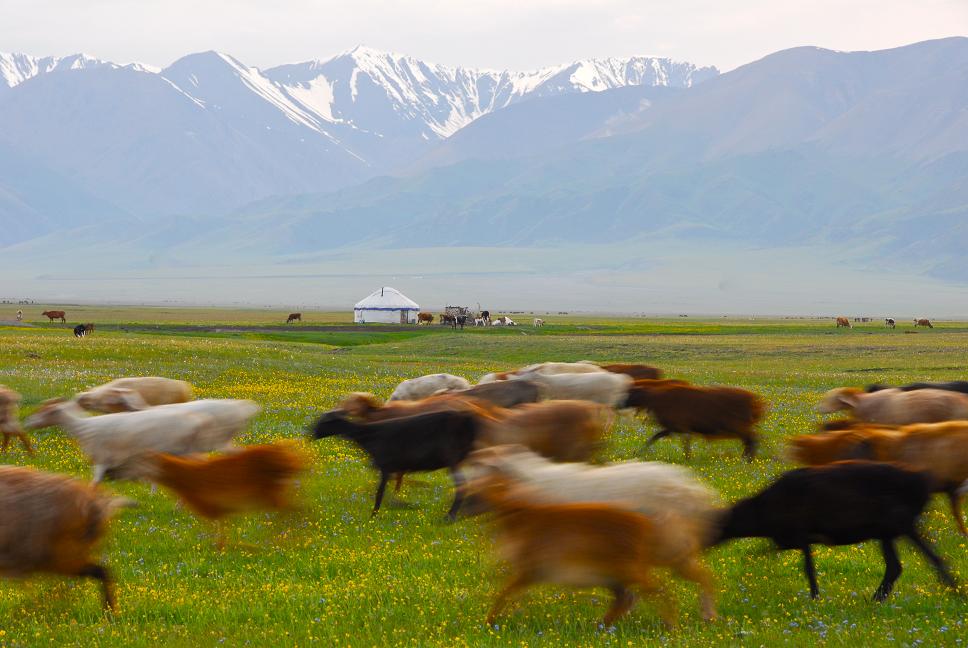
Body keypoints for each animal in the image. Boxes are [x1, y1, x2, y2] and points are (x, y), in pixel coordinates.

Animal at [25, 398, 260, 484]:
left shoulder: (103, 458)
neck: (85, 428)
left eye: (45, 411)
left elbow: (95, 482)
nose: (27, 422)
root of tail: (244, 407)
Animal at [308, 410, 478, 520]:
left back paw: (449, 517)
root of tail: (469, 421)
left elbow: (380, 493)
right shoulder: (390, 469)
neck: (366, 436)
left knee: (463, 485)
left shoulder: (385, 466)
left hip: (452, 458)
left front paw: (373, 515)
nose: (309, 435)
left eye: (324, 422)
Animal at [712, 460, 960, 604]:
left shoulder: (799, 533)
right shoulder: (795, 538)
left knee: (926, 559)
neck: (760, 512)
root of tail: (924, 482)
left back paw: (954, 591)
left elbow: (807, 568)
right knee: (897, 566)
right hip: (888, 530)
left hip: (900, 523)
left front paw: (815, 599)